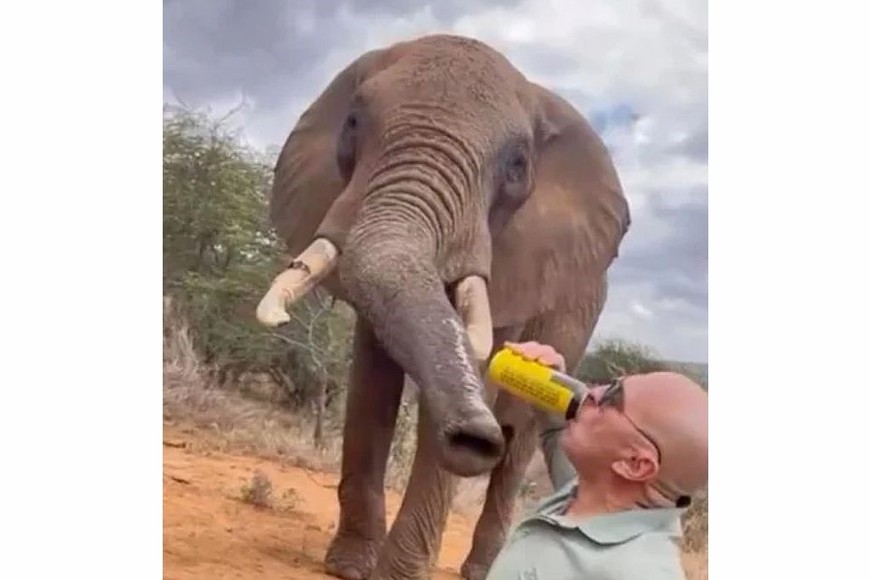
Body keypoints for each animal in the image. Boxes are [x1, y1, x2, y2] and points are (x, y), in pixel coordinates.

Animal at [255, 34, 631, 580]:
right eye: (352, 123)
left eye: (518, 165)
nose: (475, 437)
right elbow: (372, 382)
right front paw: (349, 567)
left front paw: (397, 575)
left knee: (520, 441)